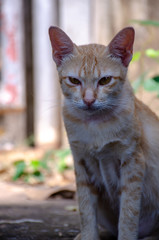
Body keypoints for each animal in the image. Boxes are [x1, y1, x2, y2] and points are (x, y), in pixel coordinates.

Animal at [49, 25, 159, 240]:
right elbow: (85, 209)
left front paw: (126, 236)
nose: (89, 100)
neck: (95, 124)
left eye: (105, 80)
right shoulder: (81, 163)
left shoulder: (132, 162)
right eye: (74, 80)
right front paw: (88, 235)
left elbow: (128, 212)